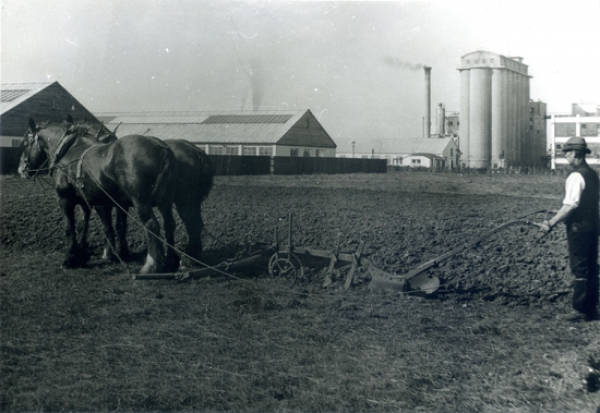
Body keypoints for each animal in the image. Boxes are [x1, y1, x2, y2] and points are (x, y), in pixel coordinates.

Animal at [18, 116, 178, 274]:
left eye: (25, 143)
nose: (21, 169)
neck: (68, 153)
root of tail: (160, 147)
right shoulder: (88, 201)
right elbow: (85, 225)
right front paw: (83, 255)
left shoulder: (65, 200)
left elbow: (70, 228)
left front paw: (70, 258)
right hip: (165, 201)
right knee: (169, 223)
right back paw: (171, 259)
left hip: (141, 202)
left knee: (151, 225)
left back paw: (151, 265)